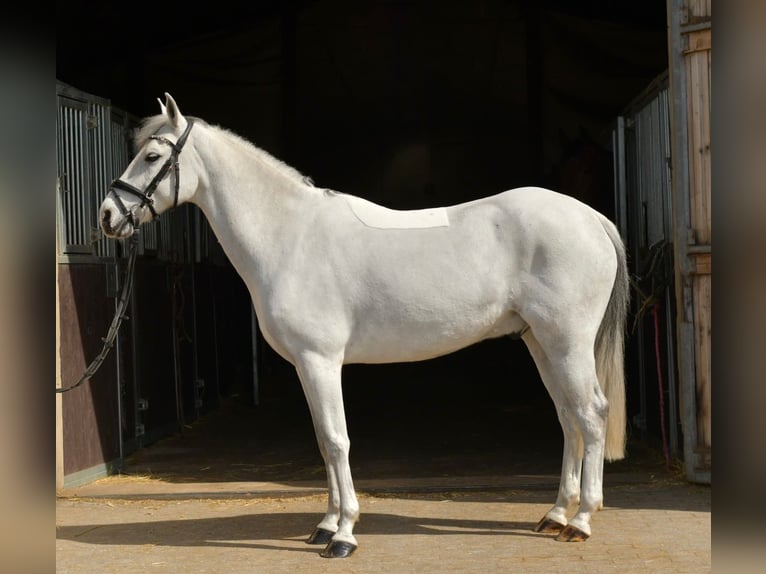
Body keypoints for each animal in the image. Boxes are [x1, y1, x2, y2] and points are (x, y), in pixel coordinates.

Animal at [99, 93, 629, 559]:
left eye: (151, 155)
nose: (107, 216)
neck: (290, 235)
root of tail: (591, 218)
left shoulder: (320, 361)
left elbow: (337, 441)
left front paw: (344, 535)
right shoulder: (306, 366)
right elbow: (322, 440)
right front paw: (325, 524)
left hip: (567, 342)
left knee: (592, 413)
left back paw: (582, 521)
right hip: (541, 343)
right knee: (568, 417)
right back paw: (556, 515)